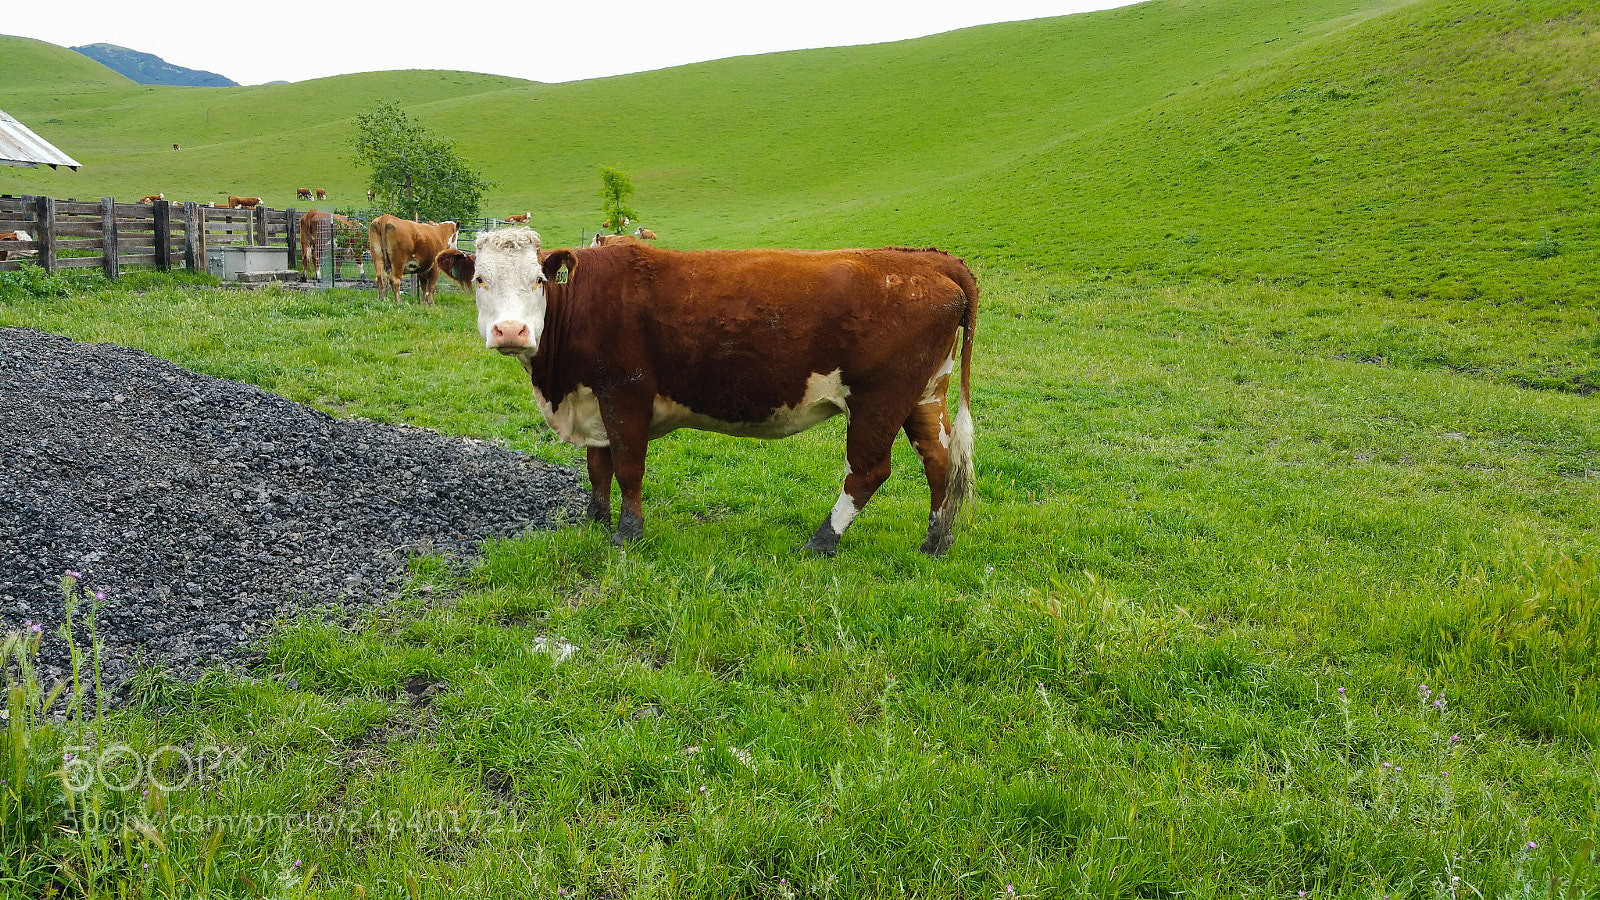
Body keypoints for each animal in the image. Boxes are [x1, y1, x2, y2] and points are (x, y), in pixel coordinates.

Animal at [437, 228, 979, 556]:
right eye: (480, 279)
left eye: (537, 280)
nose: (511, 331)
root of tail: (930, 261)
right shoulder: (592, 402)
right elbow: (597, 466)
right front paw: (595, 519)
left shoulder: (625, 393)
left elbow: (627, 467)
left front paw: (627, 534)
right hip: (924, 394)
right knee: (939, 460)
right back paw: (936, 541)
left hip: (878, 399)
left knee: (869, 471)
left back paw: (822, 541)